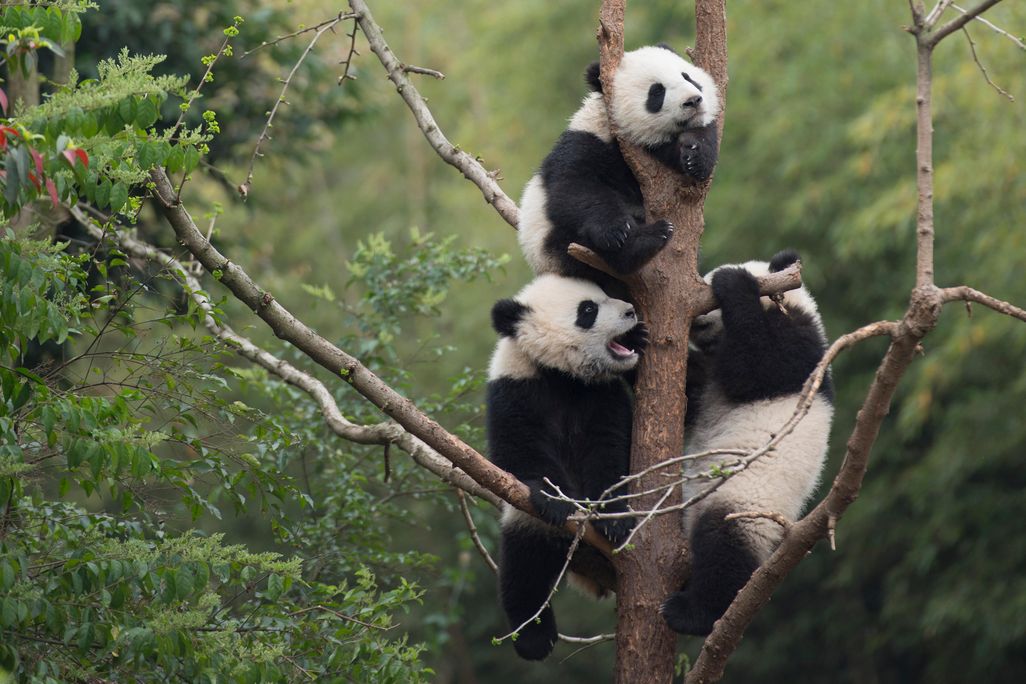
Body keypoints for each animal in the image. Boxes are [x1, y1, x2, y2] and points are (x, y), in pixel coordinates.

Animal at [487, 274, 648, 660]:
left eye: (606, 294)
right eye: (587, 310)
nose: (630, 310)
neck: (562, 374)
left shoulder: (601, 393)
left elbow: (609, 448)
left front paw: (613, 519)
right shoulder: (514, 387)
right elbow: (519, 450)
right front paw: (558, 500)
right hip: (527, 523)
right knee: (523, 568)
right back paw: (533, 638)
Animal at [518, 44, 720, 287]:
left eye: (687, 76)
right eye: (656, 92)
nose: (693, 100)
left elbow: (698, 140)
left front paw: (695, 157)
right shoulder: (588, 141)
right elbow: (574, 186)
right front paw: (616, 231)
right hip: (552, 244)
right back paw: (646, 240)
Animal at [660, 249, 834, 636]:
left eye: (707, 292)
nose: (696, 324)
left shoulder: (803, 351)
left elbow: (757, 367)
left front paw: (734, 282)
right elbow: (692, 397)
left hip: (746, 501)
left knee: (724, 545)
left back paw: (694, 614)